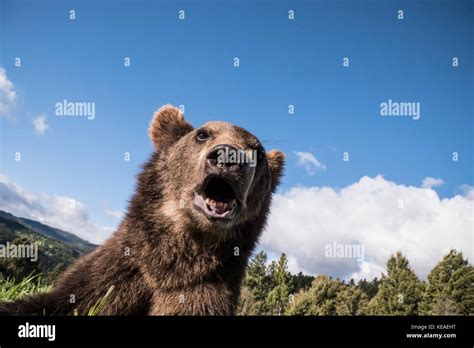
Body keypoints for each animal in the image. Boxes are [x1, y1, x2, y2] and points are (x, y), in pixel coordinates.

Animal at [0, 104, 284, 314]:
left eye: (258, 151)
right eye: (202, 134)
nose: (229, 157)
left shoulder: (201, 288)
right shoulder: (116, 271)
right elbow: (58, 301)